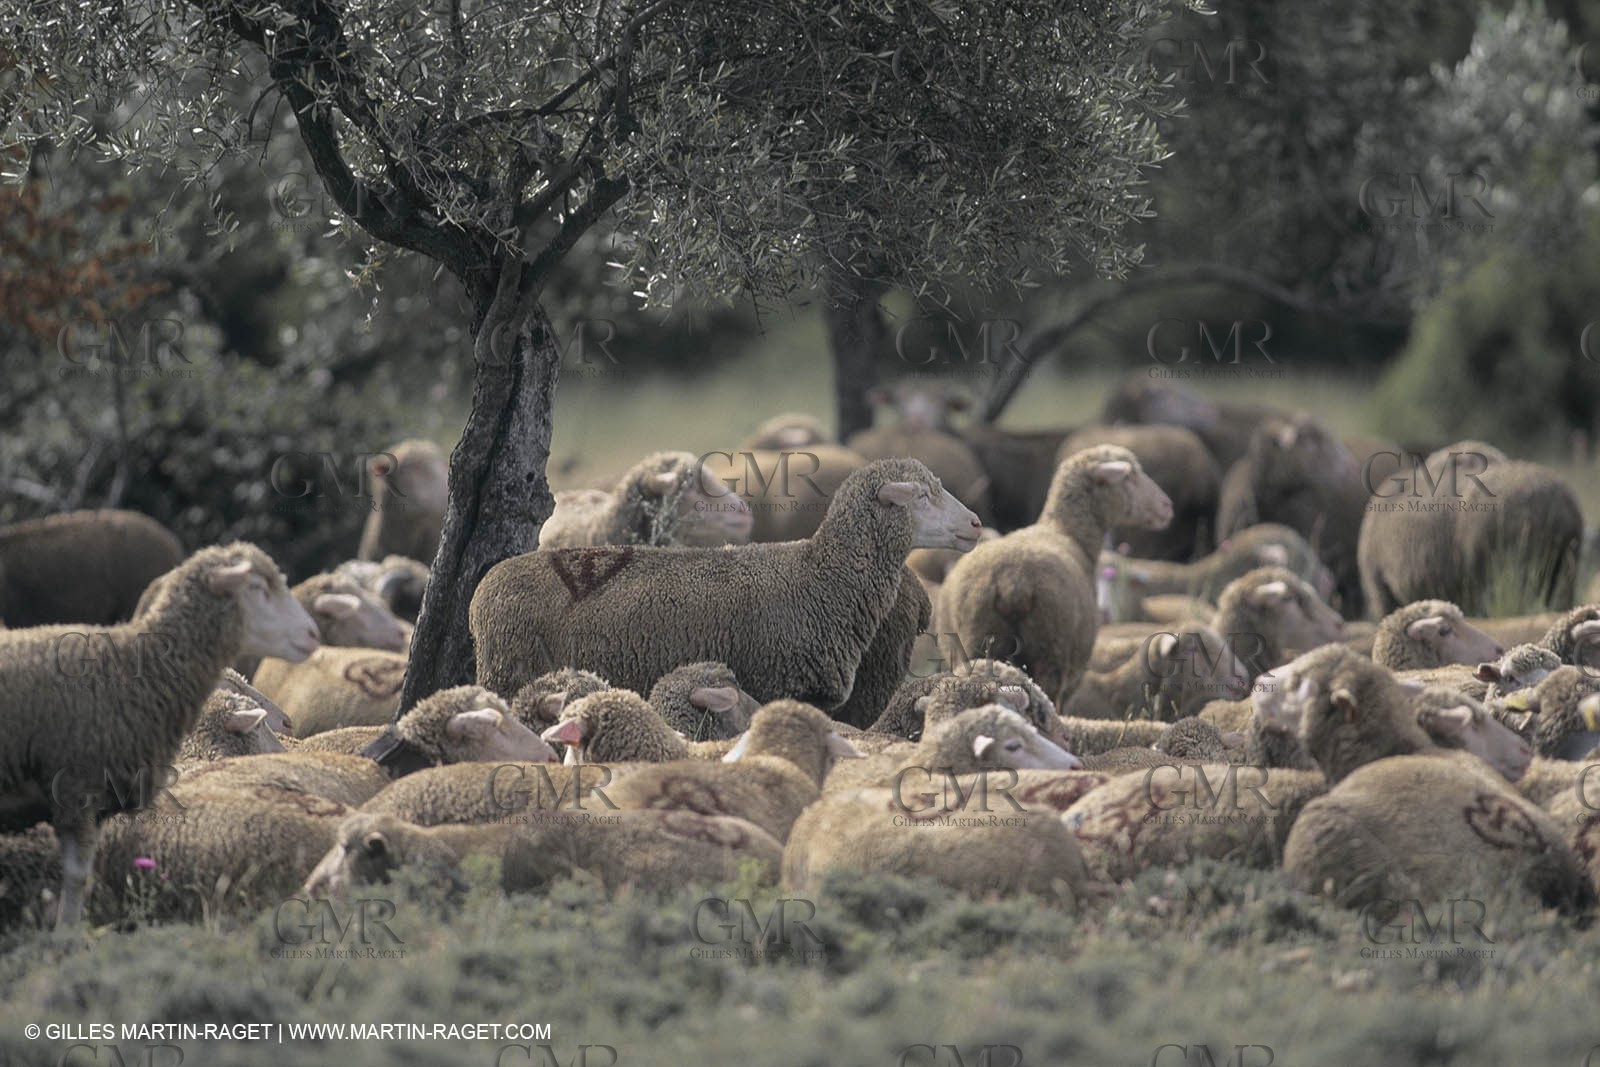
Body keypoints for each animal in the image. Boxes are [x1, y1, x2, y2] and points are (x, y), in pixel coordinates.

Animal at [934, 445, 1173, 709]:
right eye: (1130, 476)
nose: (1167, 506)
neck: (1069, 533)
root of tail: (1012, 580)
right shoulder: (1075, 672)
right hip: (1050, 650)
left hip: (976, 641)